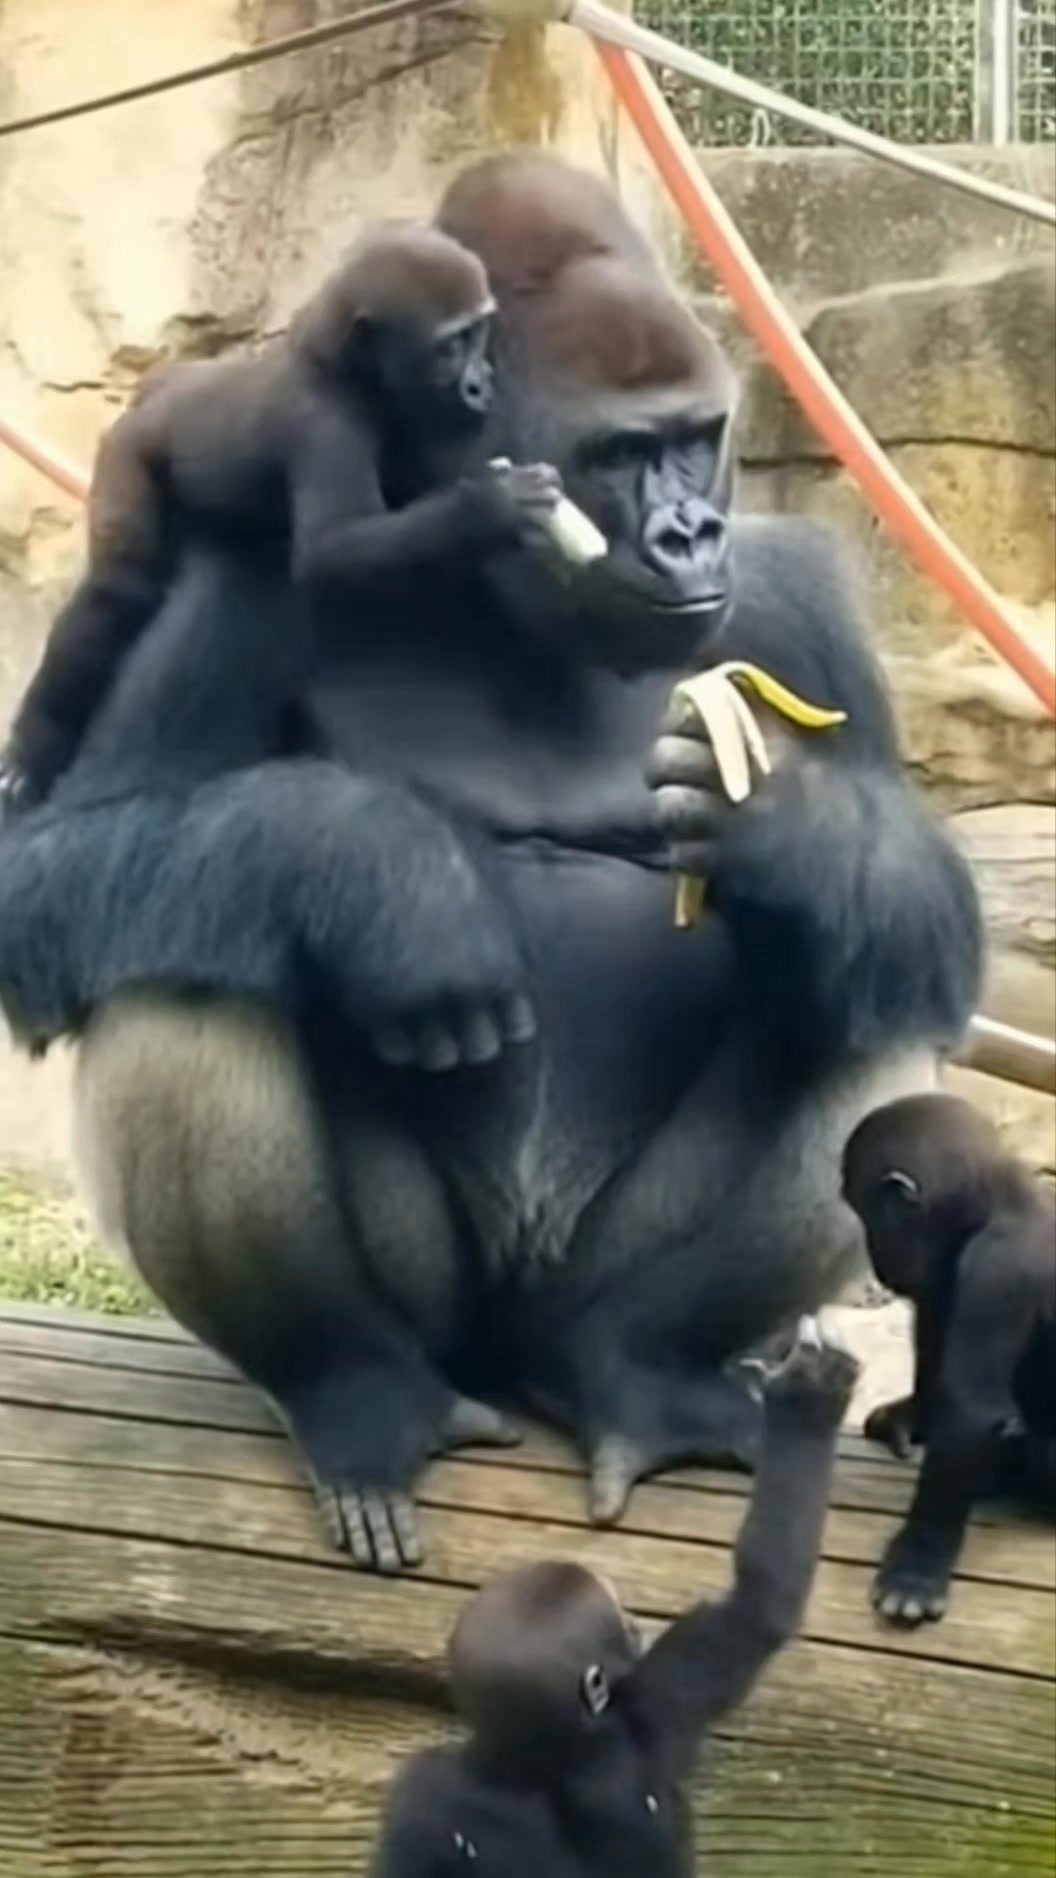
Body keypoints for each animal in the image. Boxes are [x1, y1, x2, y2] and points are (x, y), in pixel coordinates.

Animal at [0, 219, 561, 814]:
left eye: (480, 332)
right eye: (451, 346)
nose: (482, 382)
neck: (338, 362)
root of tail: (147, 403)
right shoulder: (326, 425)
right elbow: (330, 552)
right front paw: (490, 510)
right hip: (127, 453)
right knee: (117, 590)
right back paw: (37, 740)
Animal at [371, 1327, 859, 1875]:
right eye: (622, 1621)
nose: (637, 1625)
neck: (545, 1755)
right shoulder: (656, 1703)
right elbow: (761, 1602)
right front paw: (807, 1401)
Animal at [842, 1091, 1055, 1626]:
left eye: (869, 1214)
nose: (874, 1256)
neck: (1002, 1197)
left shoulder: (999, 1270)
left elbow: (971, 1412)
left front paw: (917, 1566)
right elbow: (934, 1314)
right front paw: (909, 1414)